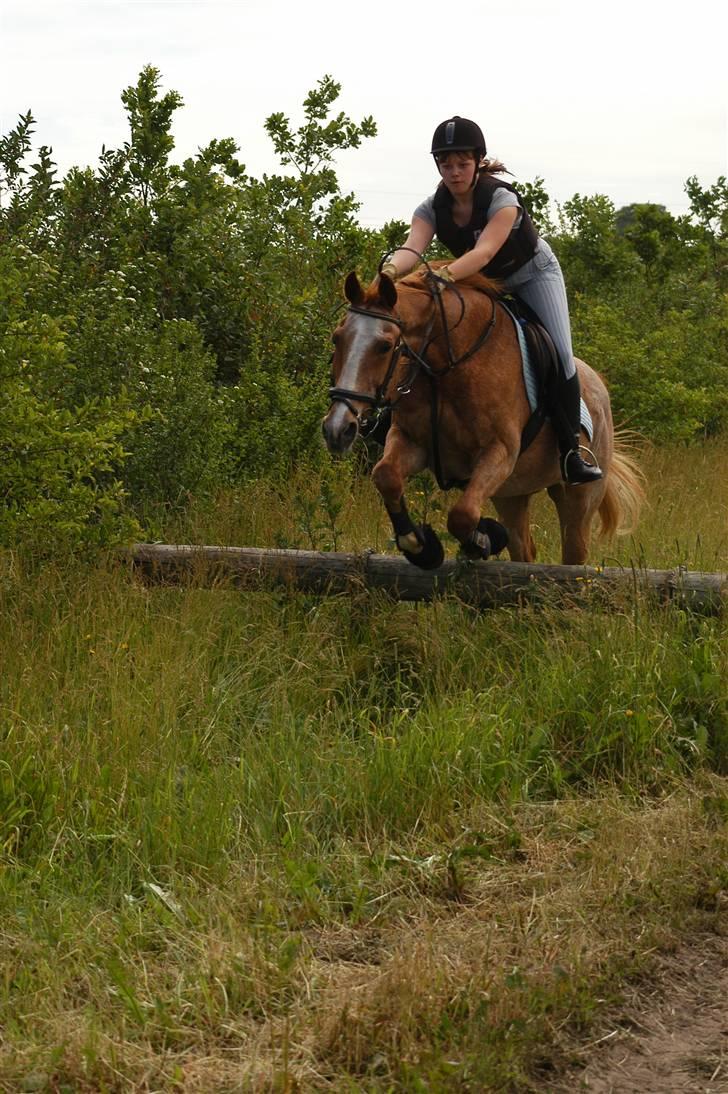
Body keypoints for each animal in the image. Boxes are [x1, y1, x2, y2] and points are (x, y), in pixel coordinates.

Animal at [321, 268, 639, 568]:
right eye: (337, 338)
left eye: (385, 346)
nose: (337, 429)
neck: (446, 365)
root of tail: (599, 386)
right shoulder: (412, 441)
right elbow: (387, 476)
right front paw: (422, 548)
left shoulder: (500, 451)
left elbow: (462, 515)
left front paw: (485, 538)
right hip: (511, 494)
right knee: (523, 550)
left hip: (578, 495)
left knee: (574, 553)